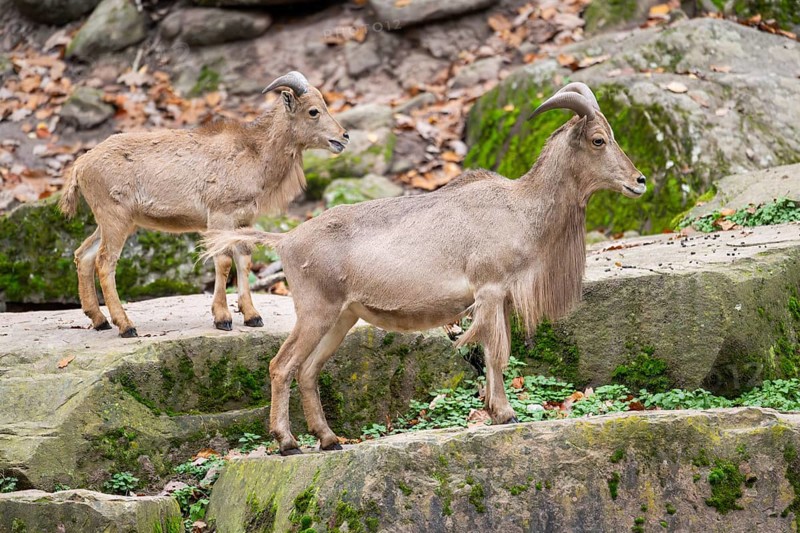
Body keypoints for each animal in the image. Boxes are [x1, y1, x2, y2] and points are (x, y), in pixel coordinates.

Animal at [59, 71, 349, 337]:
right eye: (313, 111)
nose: (344, 137)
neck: (253, 153)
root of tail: (80, 165)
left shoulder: (243, 220)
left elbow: (243, 259)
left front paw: (253, 316)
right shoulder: (220, 215)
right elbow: (223, 261)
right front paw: (223, 318)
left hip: (113, 221)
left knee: (83, 254)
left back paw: (99, 320)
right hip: (115, 217)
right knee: (105, 262)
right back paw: (126, 325)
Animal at [202, 83, 647, 455]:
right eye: (598, 140)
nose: (640, 181)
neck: (520, 208)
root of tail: (287, 240)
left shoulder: (499, 298)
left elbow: (497, 353)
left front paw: (495, 411)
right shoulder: (489, 290)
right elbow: (496, 352)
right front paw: (505, 414)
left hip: (341, 318)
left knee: (308, 371)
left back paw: (329, 440)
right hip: (316, 312)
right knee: (282, 367)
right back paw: (288, 442)